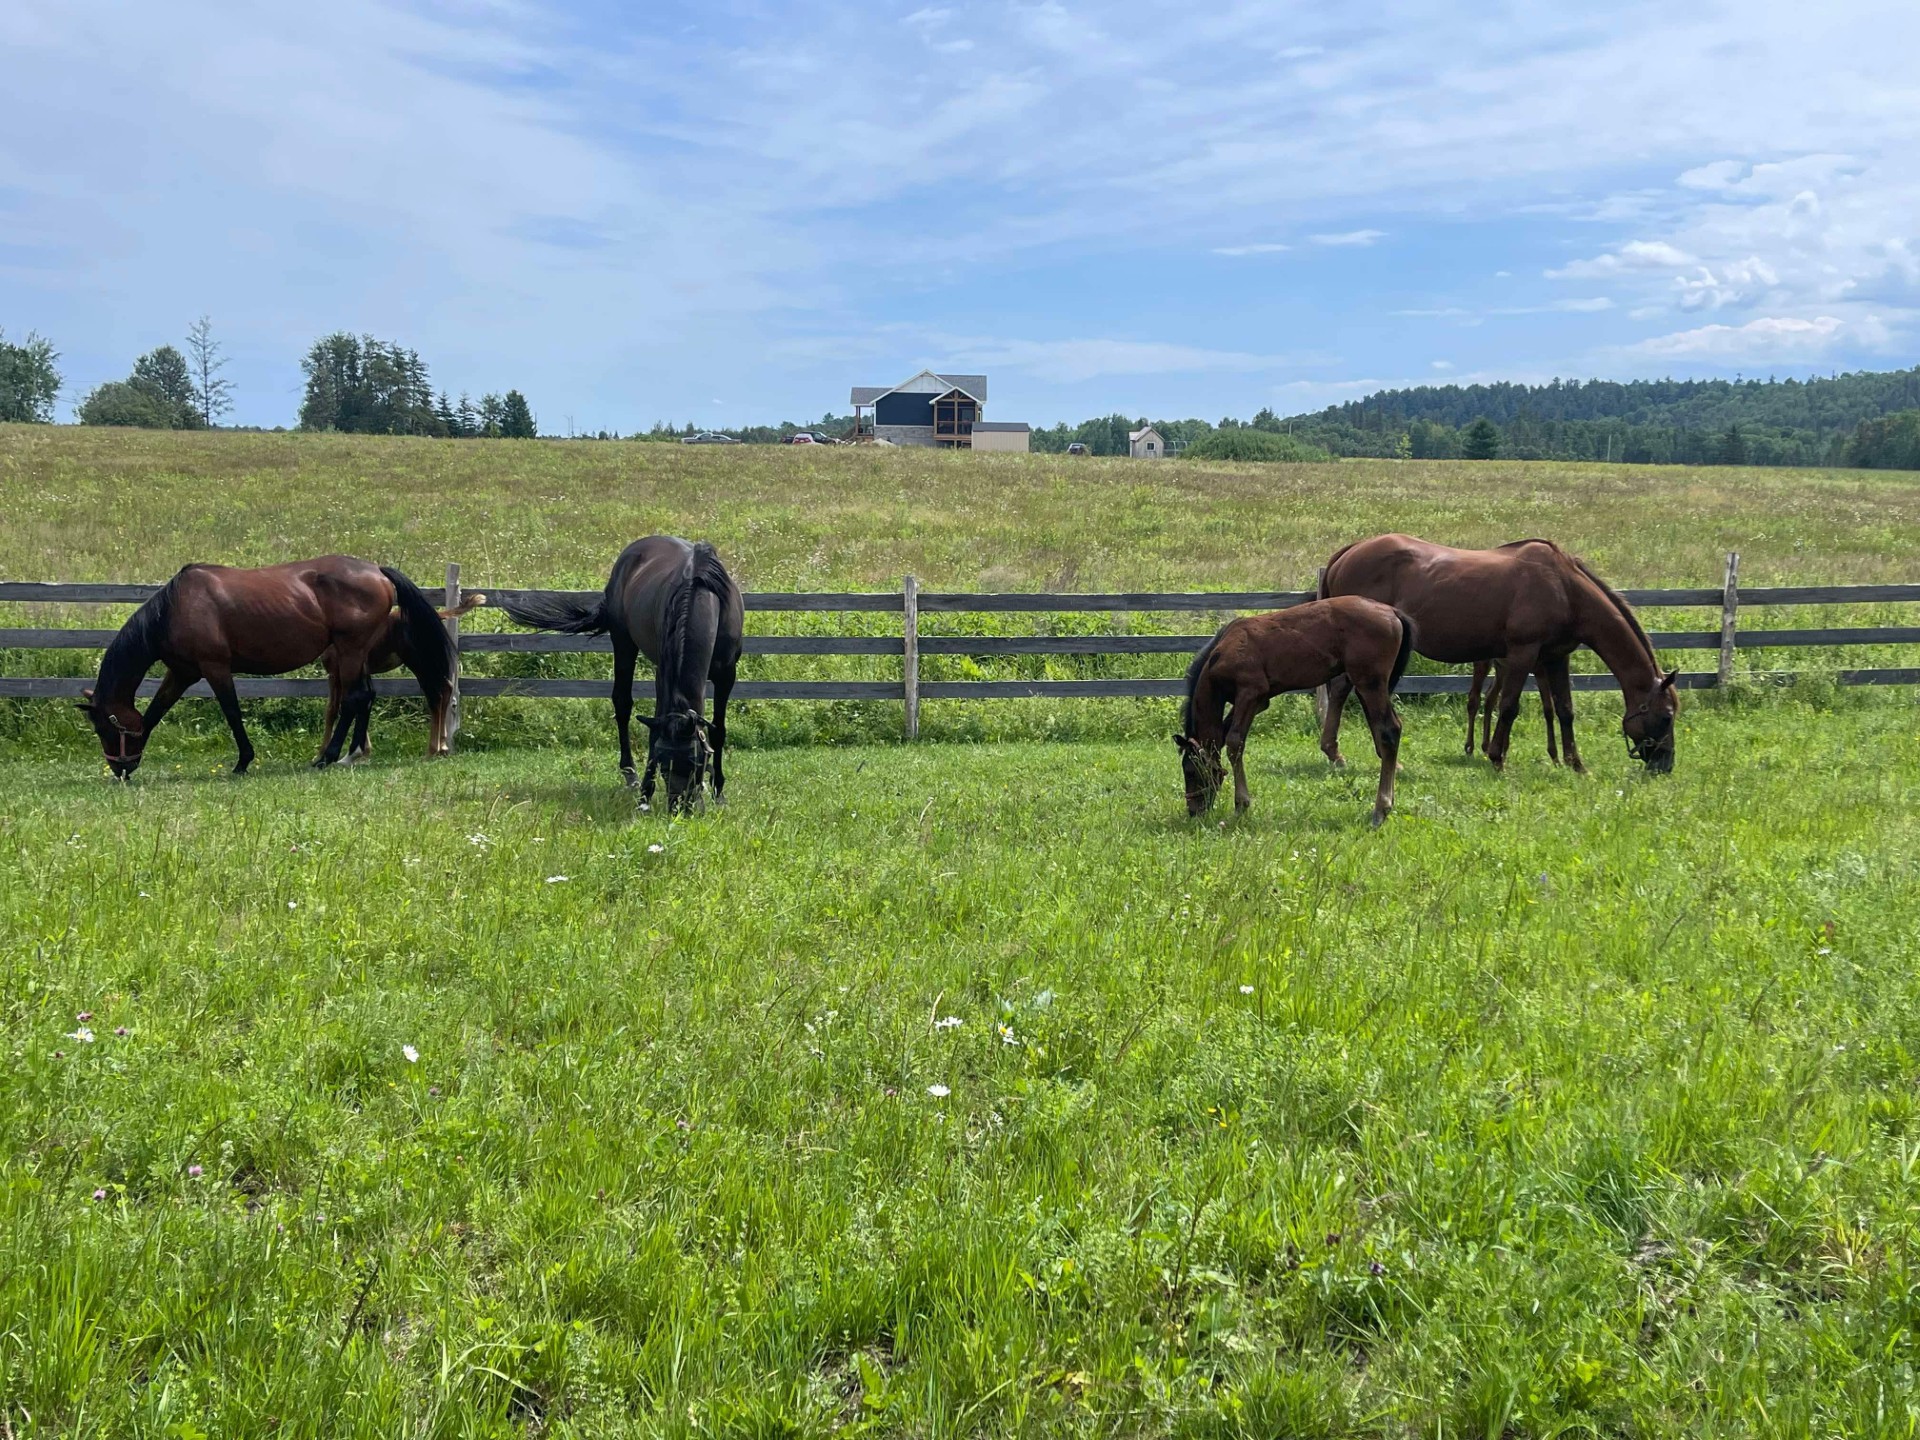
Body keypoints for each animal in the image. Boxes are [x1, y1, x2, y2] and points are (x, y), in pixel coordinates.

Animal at [80, 556, 462, 779]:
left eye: (103, 727)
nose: (120, 768)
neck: (176, 608)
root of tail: (377, 571)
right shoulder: (182, 672)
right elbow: (156, 711)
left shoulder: (214, 668)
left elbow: (232, 712)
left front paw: (242, 762)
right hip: (354, 654)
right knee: (364, 697)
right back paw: (349, 755)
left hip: (351, 650)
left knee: (355, 698)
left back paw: (329, 757)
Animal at [499, 537, 744, 814]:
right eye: (664, 763)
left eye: (696, 762)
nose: (678, 809)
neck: (701, 593)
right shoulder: (663, 674)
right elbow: (654, 730)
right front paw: (645, 795)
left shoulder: (727, 675)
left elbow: (719, 730)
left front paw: (719, 792)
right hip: (623, 641)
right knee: (622, 703)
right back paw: (630, 774)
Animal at [1167, 595, 1413, 821]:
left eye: (1190, 771)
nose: (1194, 811)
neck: (1223, 652)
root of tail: (1392, 612)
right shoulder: (1258, 701)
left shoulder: (1249, 693)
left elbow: (1235, 742)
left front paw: (1241, 805)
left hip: (1369, 683)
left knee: (1389, 731)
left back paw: (1381, 809)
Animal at [1320, 537, 1681, 771]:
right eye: (1666, 717)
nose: (1665, 764)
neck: (1564, 588)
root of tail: (1347, 553)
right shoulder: (1523, 654)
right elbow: (1508, 707)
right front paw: (1496, 756)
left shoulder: (1556, 658)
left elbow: (1565, 710)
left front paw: (1575, 763)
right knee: (1343, 692)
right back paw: (1340, 753)